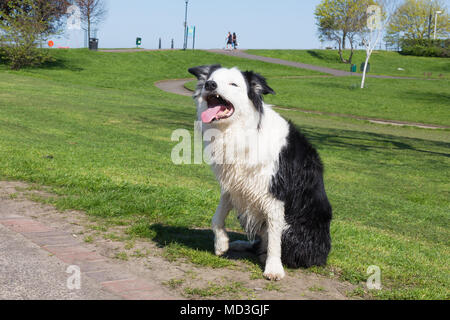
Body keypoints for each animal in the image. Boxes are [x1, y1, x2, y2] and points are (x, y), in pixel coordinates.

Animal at [188, 65, 332, 280]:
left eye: (233, 84)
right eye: (210, 79)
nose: (210, 85)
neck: (241, 130)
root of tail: (324, 254)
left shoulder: (274, 193)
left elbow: (274, 238)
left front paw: (273, 268)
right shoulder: (235, 183)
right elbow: (217, 217)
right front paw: (221, 243)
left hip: (296, 229)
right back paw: (243, 245)